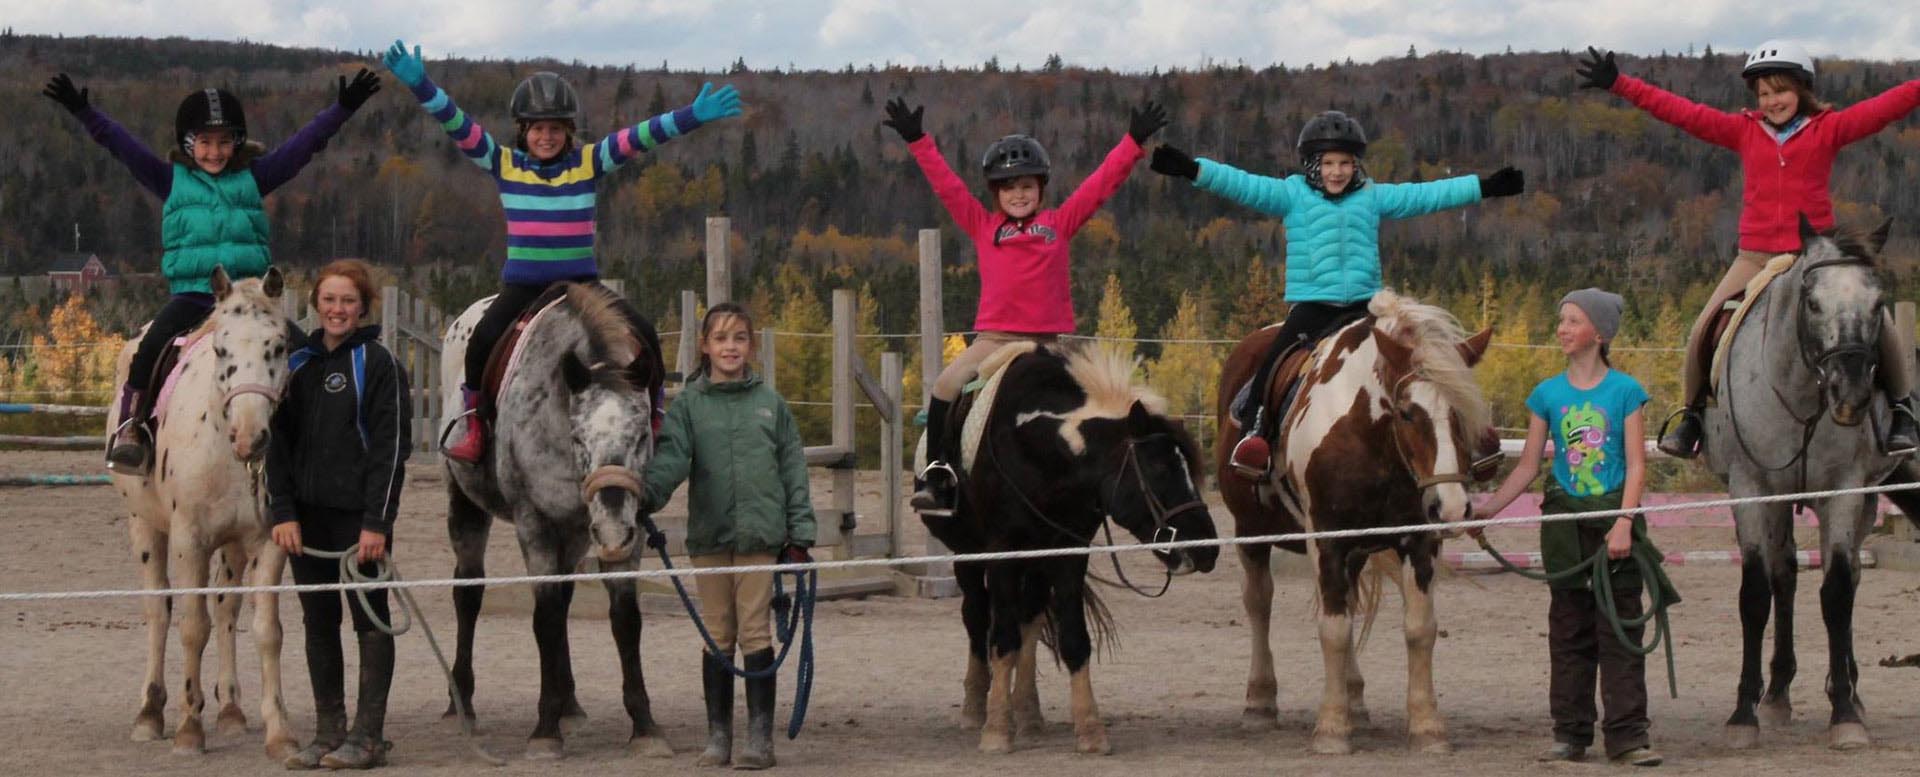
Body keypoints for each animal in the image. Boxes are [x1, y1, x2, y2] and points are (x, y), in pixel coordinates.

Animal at [913, 341, 1213, 752]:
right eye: (1159, 470)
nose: (1207, 548)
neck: (1037, 445)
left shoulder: (1068, 551)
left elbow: (1072, 639)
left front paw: (1089, 730)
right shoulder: (1001, 550)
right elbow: (1001, 637)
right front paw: (996, 731)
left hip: (1037, 561)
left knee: (1029, 621)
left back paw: (1028, 714)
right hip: (968, 555)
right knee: (977, 617)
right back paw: (976, 708)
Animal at [1213, 289, 1497, 752]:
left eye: (1463, 411)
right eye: (1407, 412)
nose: (1452, 509)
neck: (1369, 439)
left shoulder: (1419, 542)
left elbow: (1419, 628)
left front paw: (1427, 726)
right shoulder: (1327, 539)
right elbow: (1333, 629)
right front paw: (1331, 729)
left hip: (1356, 551)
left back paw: (1354, 699)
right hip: (1251, 531)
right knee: (1259, 603)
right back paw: (1260, 702)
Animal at [1704, 216, 1912, 744]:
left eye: (1877, 304)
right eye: (1813, 302)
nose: (1851, 394)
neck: (1801, 394)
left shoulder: (1845, 490)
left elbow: (1837, 592)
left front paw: (1845, 714)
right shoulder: (1751, 490)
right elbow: (1756, 593)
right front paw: (1743, 715)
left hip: (1863, 501)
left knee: (1849, 575)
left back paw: (1849, 691)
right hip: (1779, 499)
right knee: (1784, 576)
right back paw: (1776, 695)